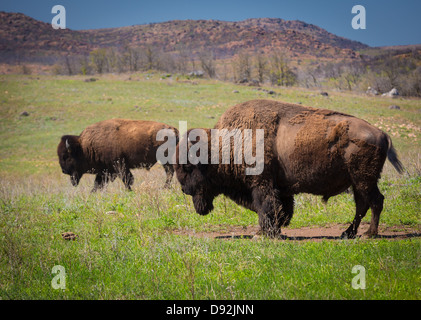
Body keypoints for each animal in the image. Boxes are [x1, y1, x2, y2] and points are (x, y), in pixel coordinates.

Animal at [175, 100, 404, 238]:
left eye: (188, 166)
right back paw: (347, 233)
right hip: (358, 181)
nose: (184, 189)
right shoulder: (280, 189)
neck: (223, 145)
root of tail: (381, 133)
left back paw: (369, 234)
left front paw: (263, 233)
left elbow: (266, 206)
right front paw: (275, 231)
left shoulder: (262, 184)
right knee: (362, 205)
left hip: (364, 179)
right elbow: (280, 210)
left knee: (375, 201)